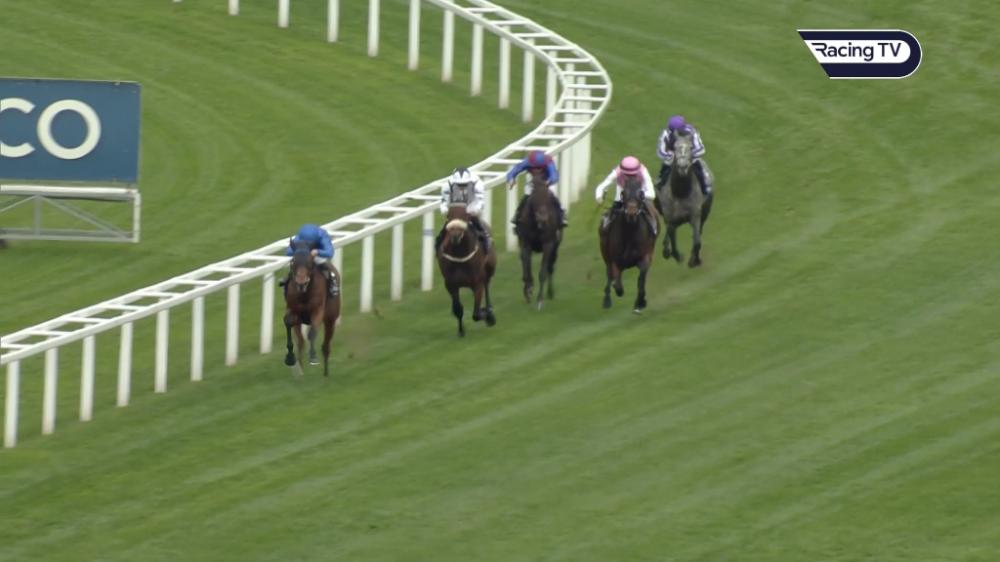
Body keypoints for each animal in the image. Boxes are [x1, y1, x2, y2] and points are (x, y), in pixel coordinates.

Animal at [282, 240, 342, 376]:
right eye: (293, 261)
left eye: (310, 262)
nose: (301, 282)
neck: (305, 293)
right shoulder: (294, 311)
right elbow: (288, 324)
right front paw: (290, 358)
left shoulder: (317, 310)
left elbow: (312, 333)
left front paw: (313, 357)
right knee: (301, 342)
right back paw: (300, 370)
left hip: (331, 319)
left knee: (326, 346)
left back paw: (326, 374)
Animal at [437, 203, 497, 337]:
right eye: (449, 215)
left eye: (465, 215)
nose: (455, 236)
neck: (460, 256)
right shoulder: (451, 285)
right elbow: (458, 309)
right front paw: (461, 331)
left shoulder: (477, 283)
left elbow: (476, 314)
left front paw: (488, 316)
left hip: (489, 269)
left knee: (487, 285)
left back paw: (489, 312)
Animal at [515, 175, 561, 310]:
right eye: (534, 198)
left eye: (548, 198)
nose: (543, 218)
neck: (537, 225)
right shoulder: (525, 243)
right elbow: (526, 267)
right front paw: (528, 289)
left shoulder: (548, 245)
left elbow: (543, 272)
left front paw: (540, 299)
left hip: (556, 248)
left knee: (551, 268)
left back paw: (550, 292)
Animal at [599, 176, 657, 313]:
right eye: (623, 193)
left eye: (641, 193)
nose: (631, 212)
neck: (630, 234)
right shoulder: (614, 261)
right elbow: (617, 285)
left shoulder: (645, 256)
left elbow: (641, 279)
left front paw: (640, 303)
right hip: (605, 254)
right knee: (609, 275)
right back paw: (607, 300)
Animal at [656, 131, 705, 268]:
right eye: (674, 148)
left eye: (691, 147)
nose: (682, 167)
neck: (681, 193)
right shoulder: (671, 219)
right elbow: (672, 241)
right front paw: (675, 255)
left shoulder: (695, 215)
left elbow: (697, 241)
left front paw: (694, 260)